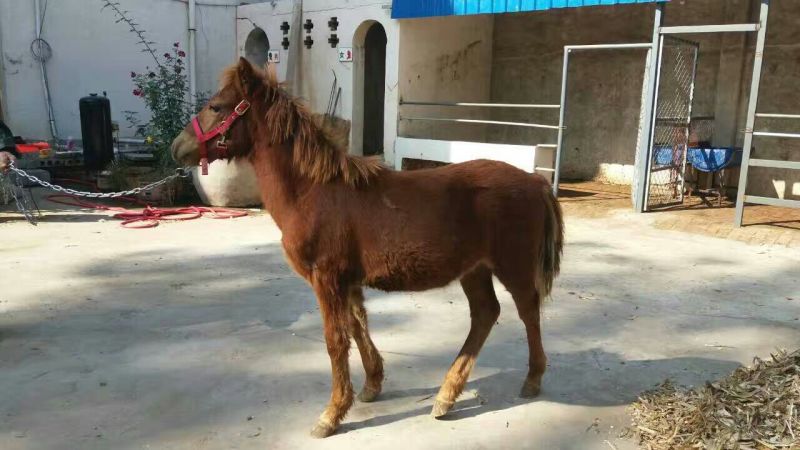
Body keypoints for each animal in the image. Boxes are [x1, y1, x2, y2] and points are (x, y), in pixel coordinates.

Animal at [171, 57, 564, 438]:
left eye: (216, 106)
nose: (177, 147)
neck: (312, 191)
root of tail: (535, 181)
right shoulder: (347, 280)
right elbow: (357, 325)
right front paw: (372, 386)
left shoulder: (326, 277)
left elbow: (335, 340)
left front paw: (331, 415)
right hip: (475, 270)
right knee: (486, 313)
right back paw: (446, 395)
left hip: (512, 265)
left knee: (527, 310)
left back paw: (531, 379)